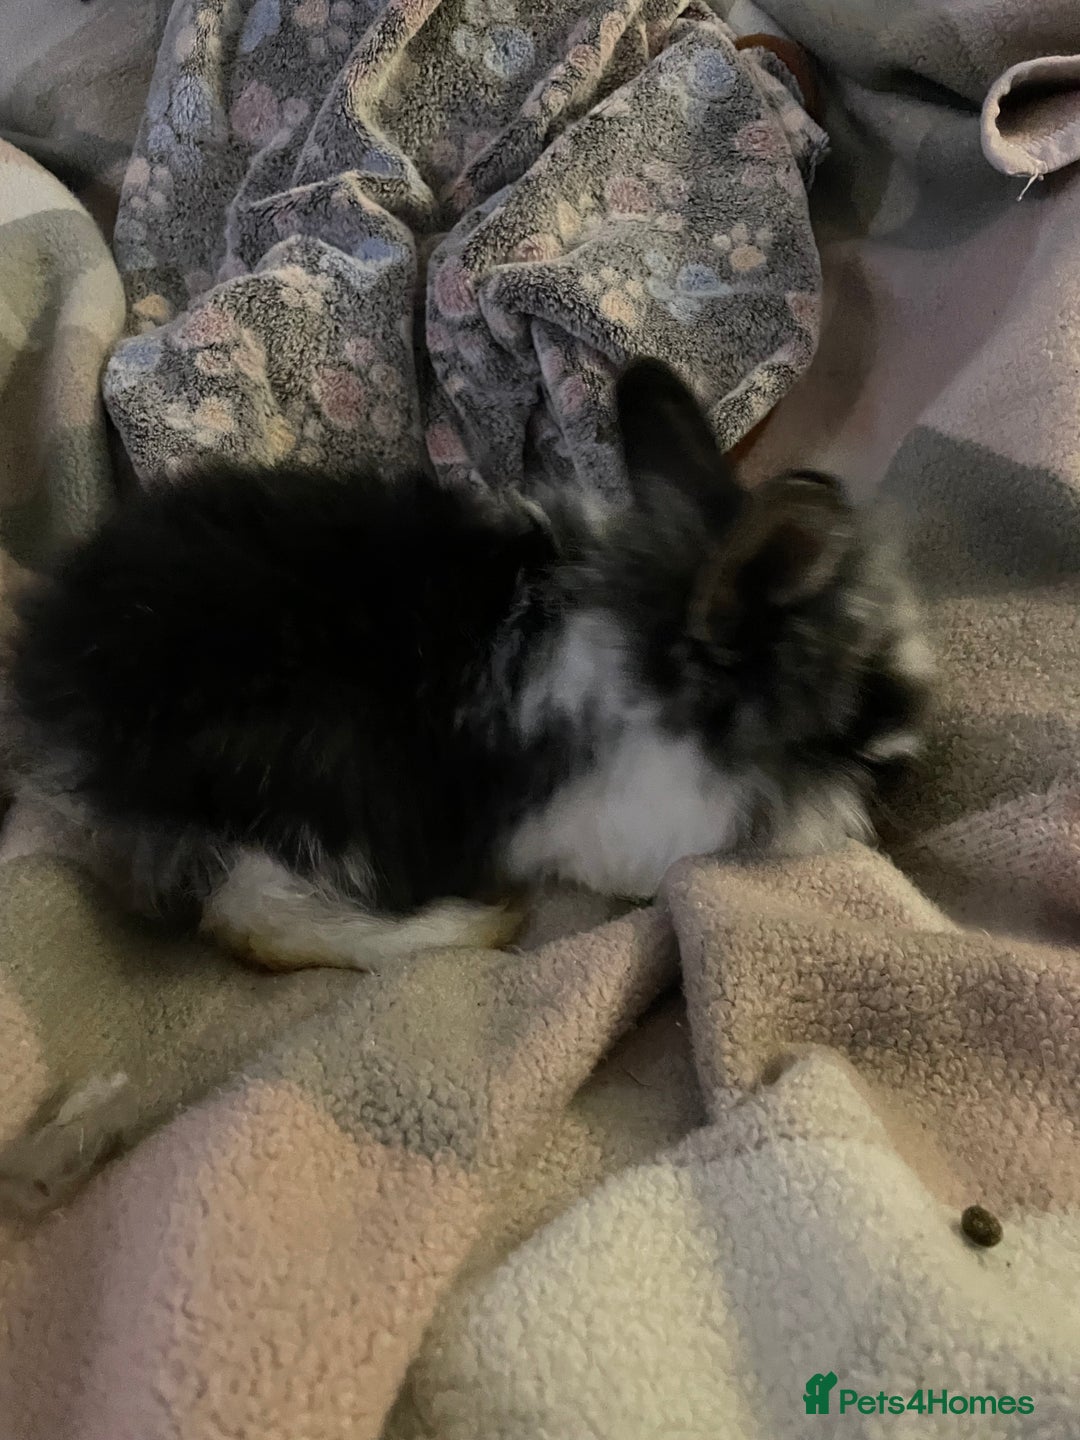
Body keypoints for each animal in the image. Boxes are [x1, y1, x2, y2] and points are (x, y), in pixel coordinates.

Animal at [5, 358, 931, 972]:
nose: (913, 764)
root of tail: (57, 690)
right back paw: (479, 924)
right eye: (863, 714)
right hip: (319, 795)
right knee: (250, 921)